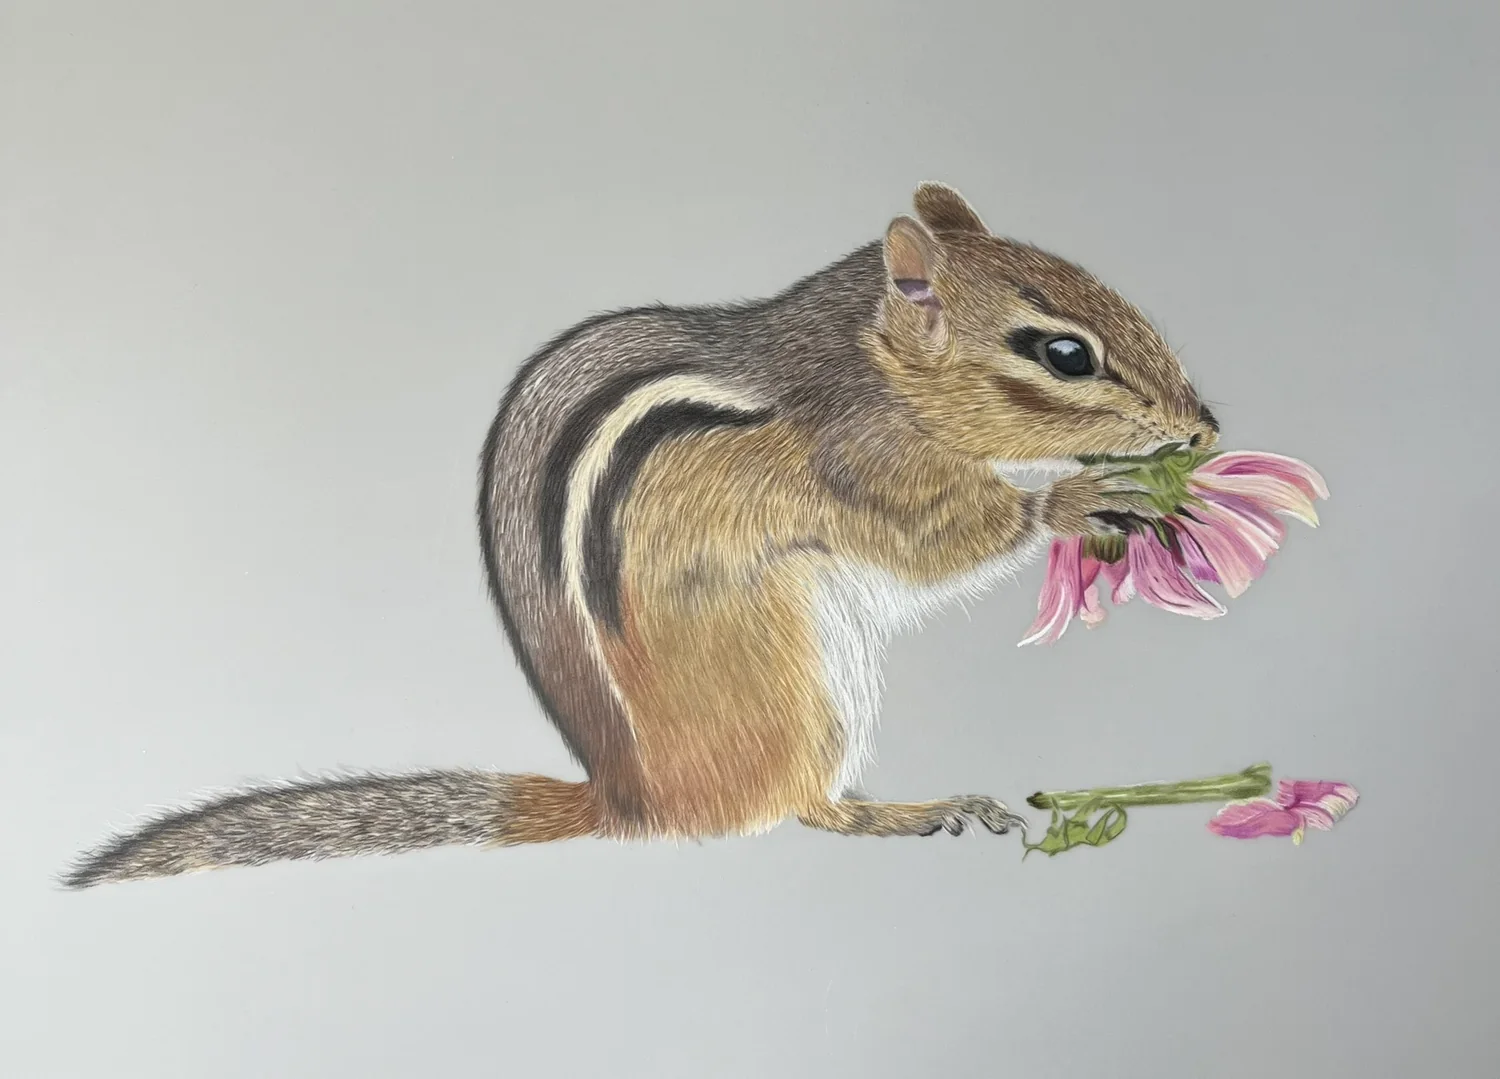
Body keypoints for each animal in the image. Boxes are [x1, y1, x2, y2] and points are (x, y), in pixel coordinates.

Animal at [63, 182, 1219, 888]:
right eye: (1063, 352)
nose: (1206, 426)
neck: (867, 359)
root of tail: (633, 798)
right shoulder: (871, 465)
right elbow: (941, 543)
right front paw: (1078, 498)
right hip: (800, 673)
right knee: (798, 809)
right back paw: (913, 810)